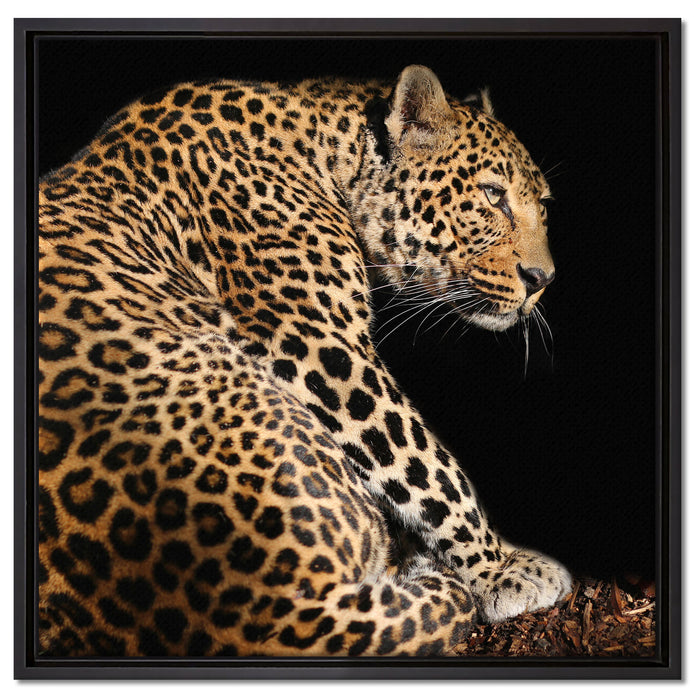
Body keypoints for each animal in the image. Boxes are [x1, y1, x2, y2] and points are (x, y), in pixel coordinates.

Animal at [37, 64, 571, 657]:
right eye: (493, 196)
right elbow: (425, 463)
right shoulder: (318, 344)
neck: (327, 148)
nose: (543, 280)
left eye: (543, 206)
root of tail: (266, 612)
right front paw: (502, 570)